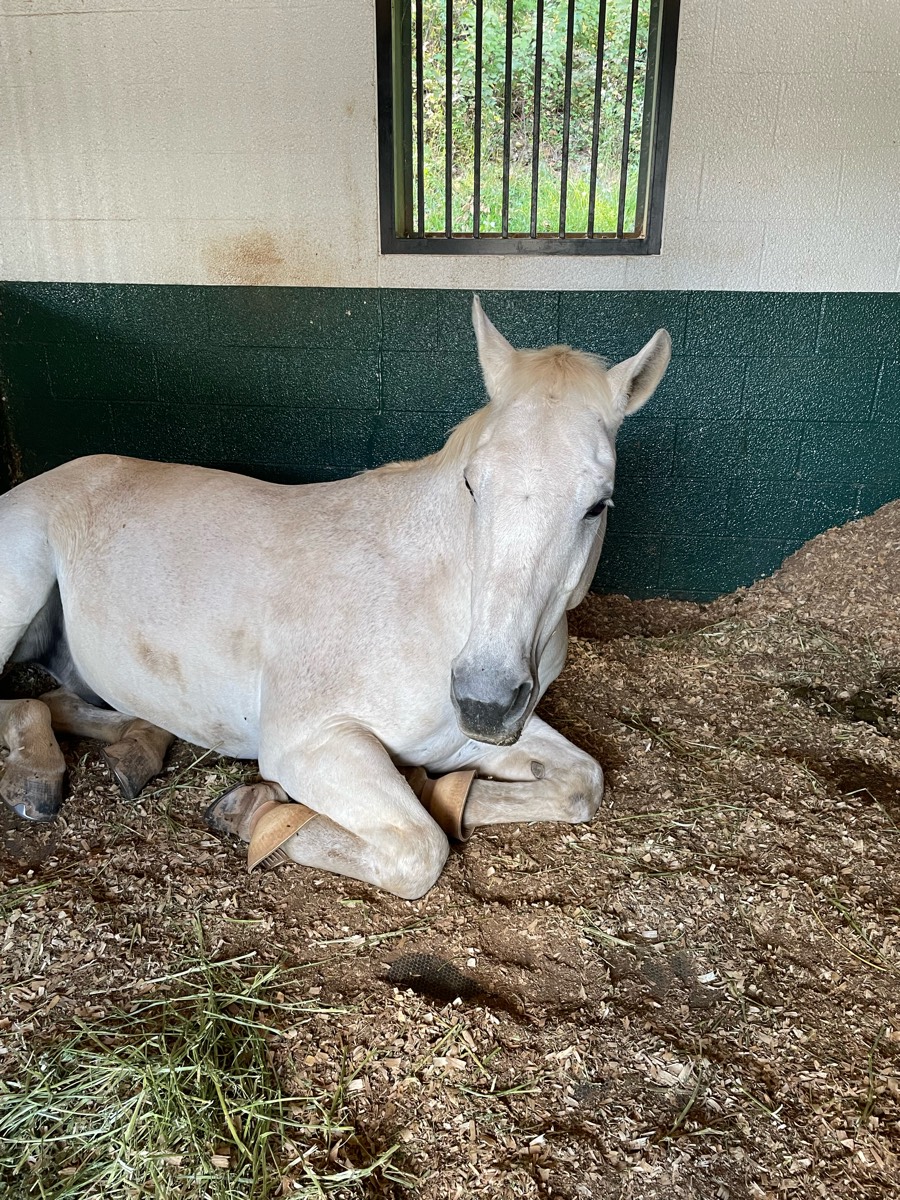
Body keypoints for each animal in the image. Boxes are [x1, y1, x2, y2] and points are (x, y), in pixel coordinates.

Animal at [0, 297, 670, 898]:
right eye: (473, 485)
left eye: (598, 504)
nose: (485, 699)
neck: (429, 607)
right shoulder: (312, 744)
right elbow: (420, 847)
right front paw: (255, 815)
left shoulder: (473, 738)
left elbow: (579, 781)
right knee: (23, 702)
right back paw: (37, 779)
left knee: (61, 701)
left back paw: (135, 746)